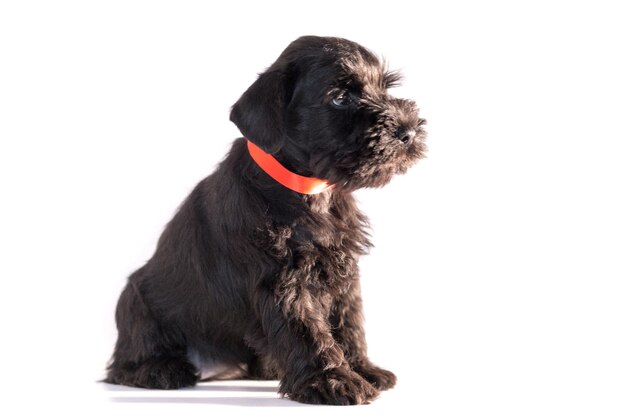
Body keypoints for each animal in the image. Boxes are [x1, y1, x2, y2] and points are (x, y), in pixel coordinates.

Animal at [105, 35, 426, 404]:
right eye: (340, 97)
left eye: (384, 88)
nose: (407, 131)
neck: (308, 190)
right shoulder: (281, 278)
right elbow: (308, 330)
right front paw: (333, 380)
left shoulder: (342, 268)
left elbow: (347, 321)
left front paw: (362, 368)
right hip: (135, 300)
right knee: (123, 364)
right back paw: (161, 370)